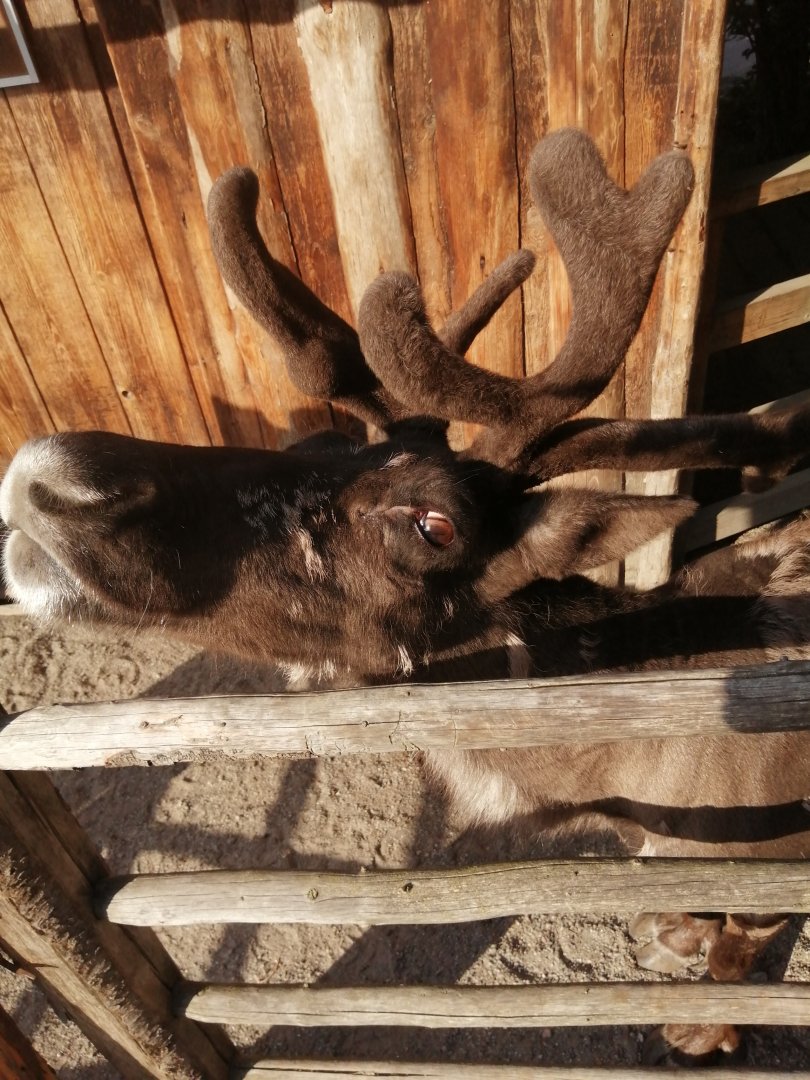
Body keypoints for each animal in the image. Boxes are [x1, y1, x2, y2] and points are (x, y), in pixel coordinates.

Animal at [3, 128, 810, 1065]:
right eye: (309, 442)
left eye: (435, 523)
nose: (57, 476)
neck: (630, 782)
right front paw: (666, 931)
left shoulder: (780, 868)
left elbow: (737, 954)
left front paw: (701, 1032)